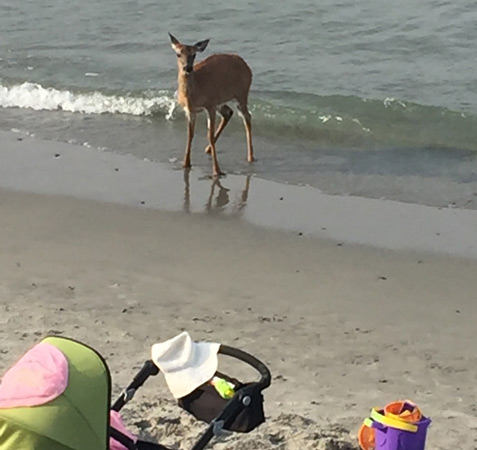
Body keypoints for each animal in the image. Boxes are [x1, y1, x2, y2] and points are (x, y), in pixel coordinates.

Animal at [169, 33, 255, 178]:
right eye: (178, 54)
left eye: (194, 55)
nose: (188, 68)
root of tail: (246, 66)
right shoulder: (191, 110)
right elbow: (190, 134)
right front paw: (185, 163)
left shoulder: (209, 105)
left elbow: (208, 134)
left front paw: (217, 171)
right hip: (221, 101)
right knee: (228, 113)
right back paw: (208, 149)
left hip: (241, 94)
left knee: (247, 117)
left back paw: (250, 157)